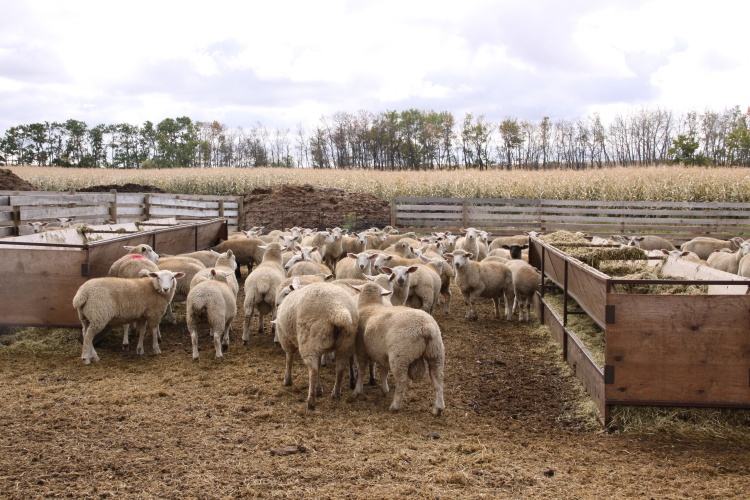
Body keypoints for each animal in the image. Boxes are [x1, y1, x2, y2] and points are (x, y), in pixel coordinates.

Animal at [348, 284, 444, 416]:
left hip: (400, 356)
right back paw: (438, 408)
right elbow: (383, 372)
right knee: (438, 379)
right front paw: (385, 389)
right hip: (436, 352)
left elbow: (362, 371)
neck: (370, 305)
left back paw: (395, 406)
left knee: (402, 381)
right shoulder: (382, 354)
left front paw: (357, 391)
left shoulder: (361, 350)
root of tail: (425, 327)